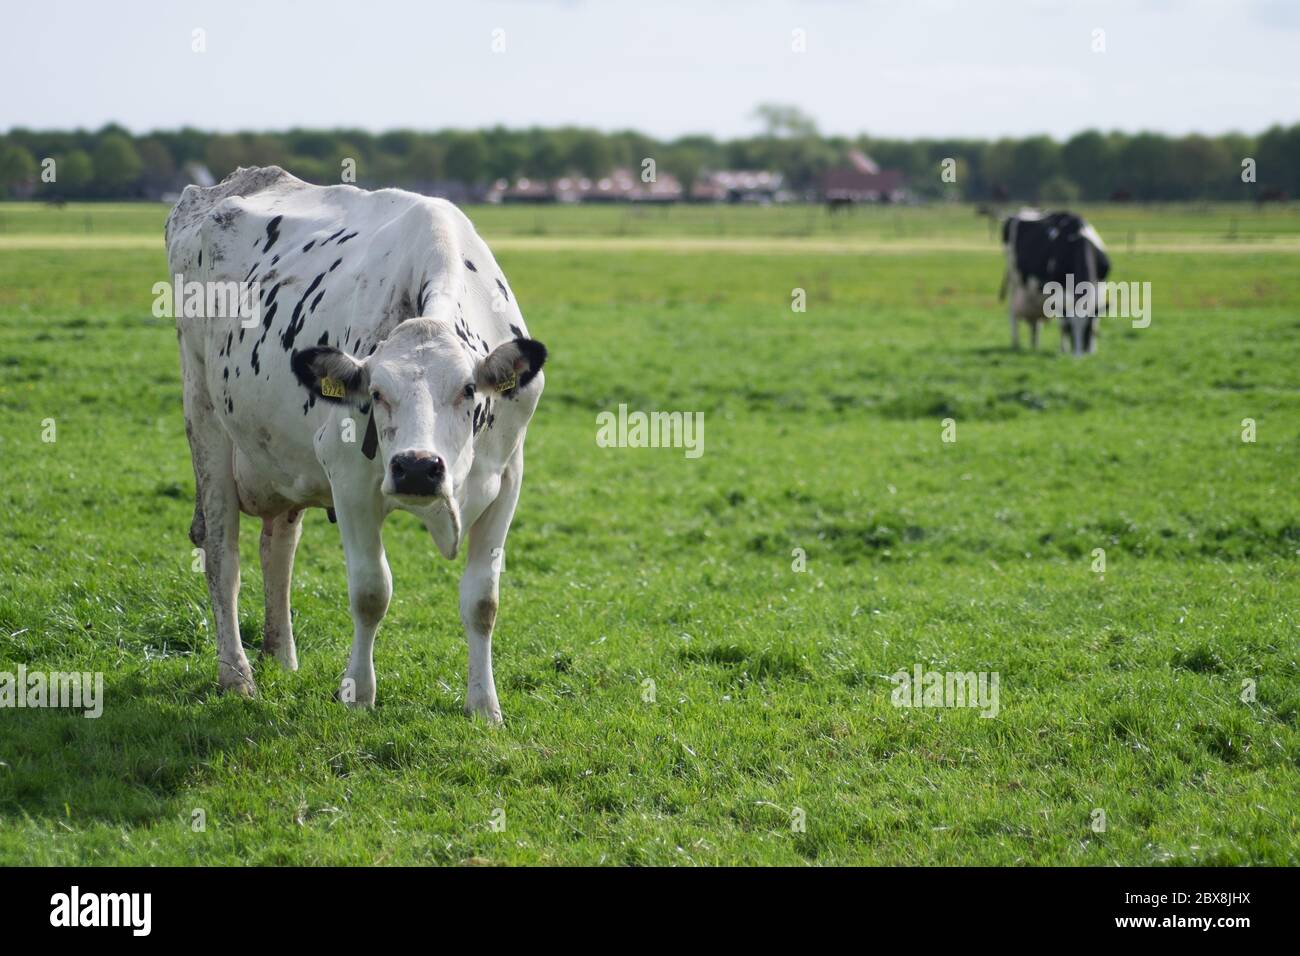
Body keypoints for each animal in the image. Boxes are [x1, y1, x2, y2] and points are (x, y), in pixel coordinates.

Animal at [163, 167, 548, 723]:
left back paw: (281, 655)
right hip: (204, 413)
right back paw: (236, 675)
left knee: (278, 551)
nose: (417, 468)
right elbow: (371, 592)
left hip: (283, 454)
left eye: (468, 390)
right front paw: (359, 694)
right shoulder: (349, 479)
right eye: (377, 393)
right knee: (222, 556)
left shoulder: (507, 479)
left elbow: (483, 601)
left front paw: (484, 707)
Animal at [998, 209, 1102, 356]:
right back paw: (1016, 343)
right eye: (1070, 329)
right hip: (1013, 279)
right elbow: (1063, 322)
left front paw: (1092, 350)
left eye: (1088, 329)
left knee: (1035, 321)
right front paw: (1064, 350)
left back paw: (1035, 344)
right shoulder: (1059, 291)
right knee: (1012, 312)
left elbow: (1096, 319)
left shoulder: (1100, 286)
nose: (1079, 356)